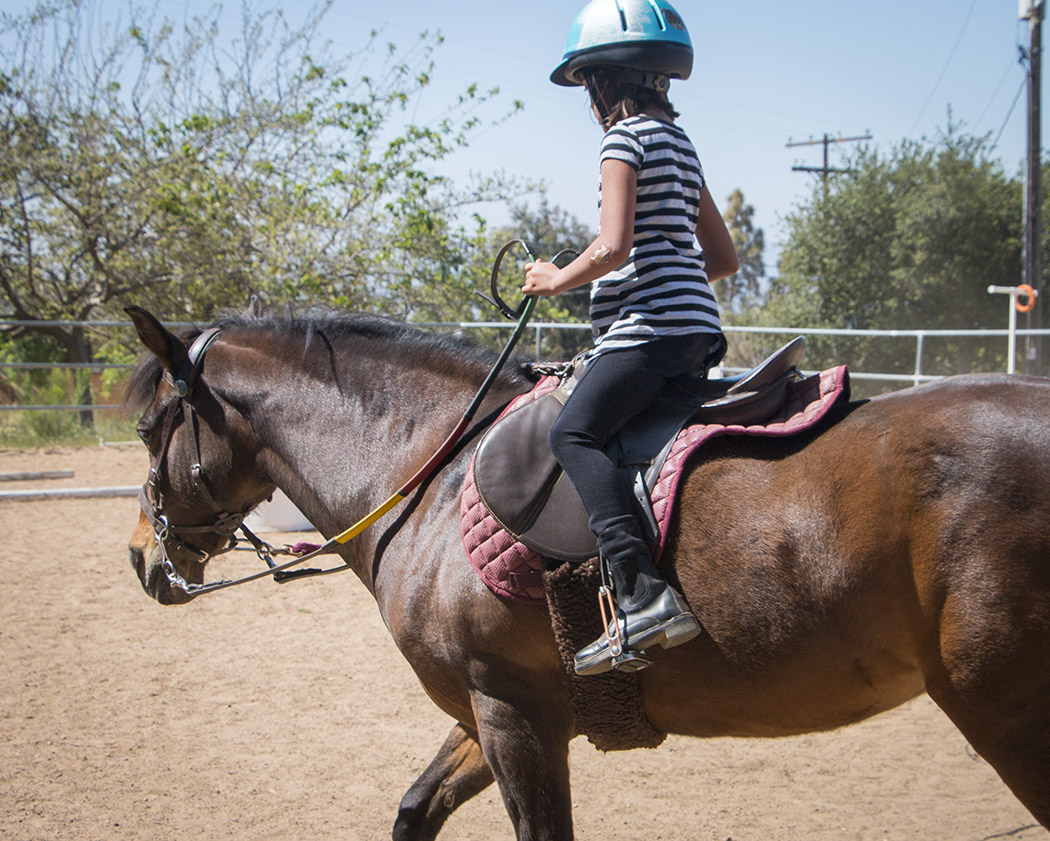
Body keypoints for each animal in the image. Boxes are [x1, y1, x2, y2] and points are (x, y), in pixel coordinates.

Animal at [124, 304, 1050, 835]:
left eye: (146, 429)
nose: (141, 554)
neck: (432, 474)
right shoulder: (498, 709)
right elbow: (415, 808)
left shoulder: (512, 716)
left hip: (1007, 714)